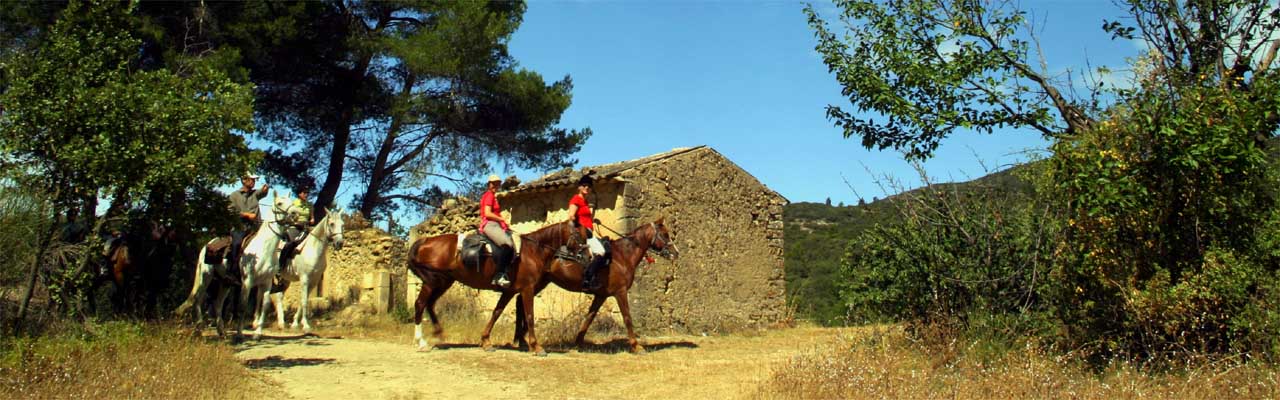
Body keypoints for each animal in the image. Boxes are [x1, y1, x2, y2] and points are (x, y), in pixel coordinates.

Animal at [175, 191, 290, 338]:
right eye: (280, 203)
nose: (294, 213)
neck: (264, 247)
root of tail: (208, 244)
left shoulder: (266, 282)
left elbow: (264, 305)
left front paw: (257, 334)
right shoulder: (247, 281)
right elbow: (242, 307)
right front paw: (240, 334)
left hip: (225, 283)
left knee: (218, 304)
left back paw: (221, 331)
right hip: (205, 276)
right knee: (198, 299)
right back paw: (199, 328)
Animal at [267, 205, 345, 333]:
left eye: (342, 224)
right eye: (332, 224)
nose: (340, 243)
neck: (313, 249)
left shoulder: (313, 281)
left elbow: (303, 300)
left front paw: (295, 323)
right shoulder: (304, 279)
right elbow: (303, 301)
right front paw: (306, 325)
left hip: (285, 280)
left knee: (279, 296)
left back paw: (281, 323)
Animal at [407, 220, 578, 353]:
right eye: (577, 233)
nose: (582, 255)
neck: (532, 251)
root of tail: (425, 241)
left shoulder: (509, 291)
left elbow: (497, 312)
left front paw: (486, 341)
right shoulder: (527, 289)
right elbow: (529, 315)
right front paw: (536, 347)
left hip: (443, 282)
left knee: (430, 304)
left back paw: (439, 333)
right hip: (431, 282)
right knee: (420, 304)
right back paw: (421, 342)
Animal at [514, 219, 686, 353]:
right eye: (665, 234)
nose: (676, 253)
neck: (622, 256)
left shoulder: (601, 295)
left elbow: (589, 317)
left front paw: (578, 343)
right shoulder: (620, 292)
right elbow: (627, 318)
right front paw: (636, 346)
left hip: (541, 282)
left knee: (520, 302)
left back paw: (522, 340)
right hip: (534, 283)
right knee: (523, 304)